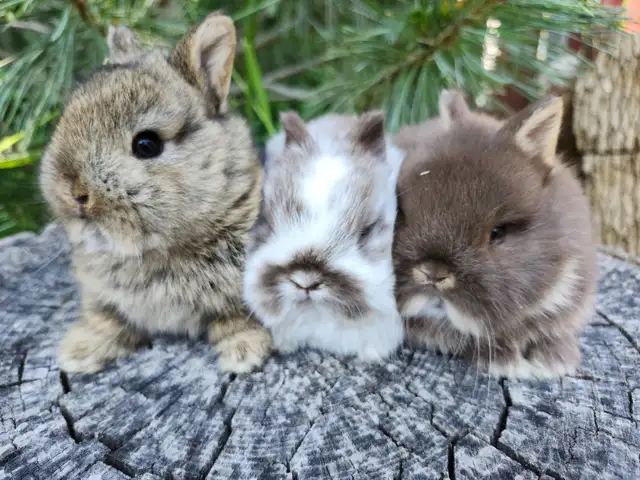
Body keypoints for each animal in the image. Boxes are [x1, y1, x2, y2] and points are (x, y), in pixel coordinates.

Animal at [39, 12, 272, 375]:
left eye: (147, 145)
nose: (74, 193)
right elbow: (106, 319)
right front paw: (80, 352)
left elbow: (239, 317)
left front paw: (243, 353)